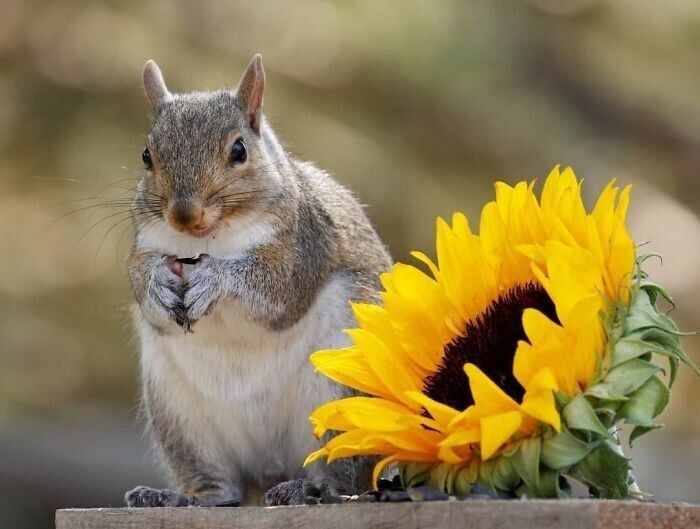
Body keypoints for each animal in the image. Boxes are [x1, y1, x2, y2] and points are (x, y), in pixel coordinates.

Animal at [122, 54, 392, 508]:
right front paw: (157, 283)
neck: (209, 239)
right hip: (180, 417)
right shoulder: (146, 243)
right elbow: (140, 279)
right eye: (146, 155)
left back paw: (313, 488)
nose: (183, 214)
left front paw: (215, 279)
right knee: (221, 485)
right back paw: (184, 497)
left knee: (342, 475)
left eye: (239, 150)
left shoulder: (302, 246)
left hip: (339, 399)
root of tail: (271, 471)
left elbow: (275, 287)